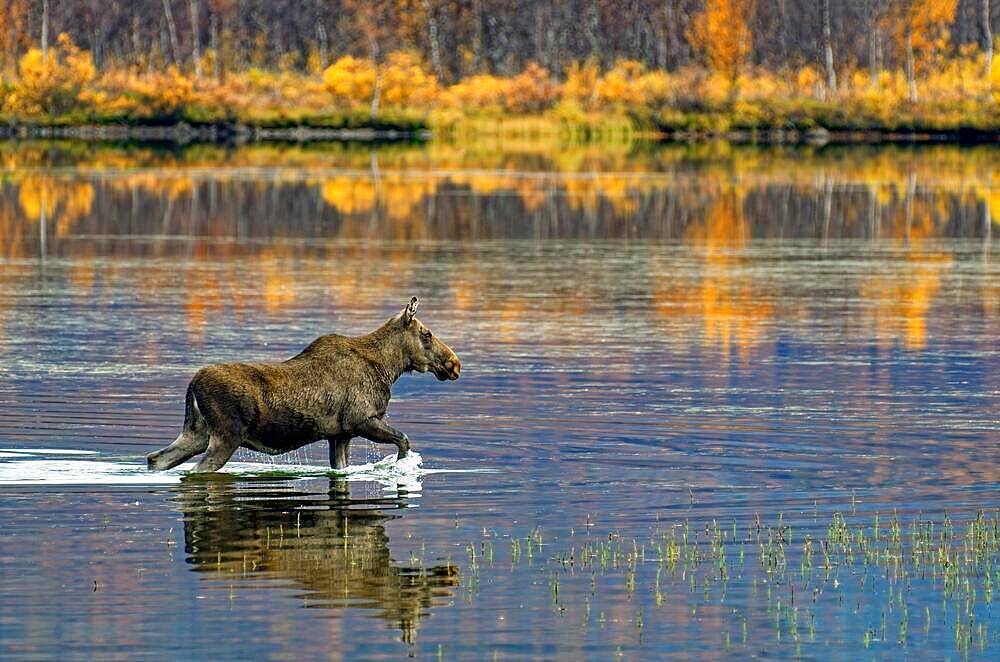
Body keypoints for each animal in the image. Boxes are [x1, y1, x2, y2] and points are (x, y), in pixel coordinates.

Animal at [146, 298, 460, 474]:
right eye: (427, 334)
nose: (454, 364)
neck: (388, 367)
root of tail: (192, 384)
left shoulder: (340, 434)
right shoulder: (361, 419)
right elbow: (404, 439)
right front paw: (401, 466)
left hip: (197, 432)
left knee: (156, 458)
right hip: (226, 436)